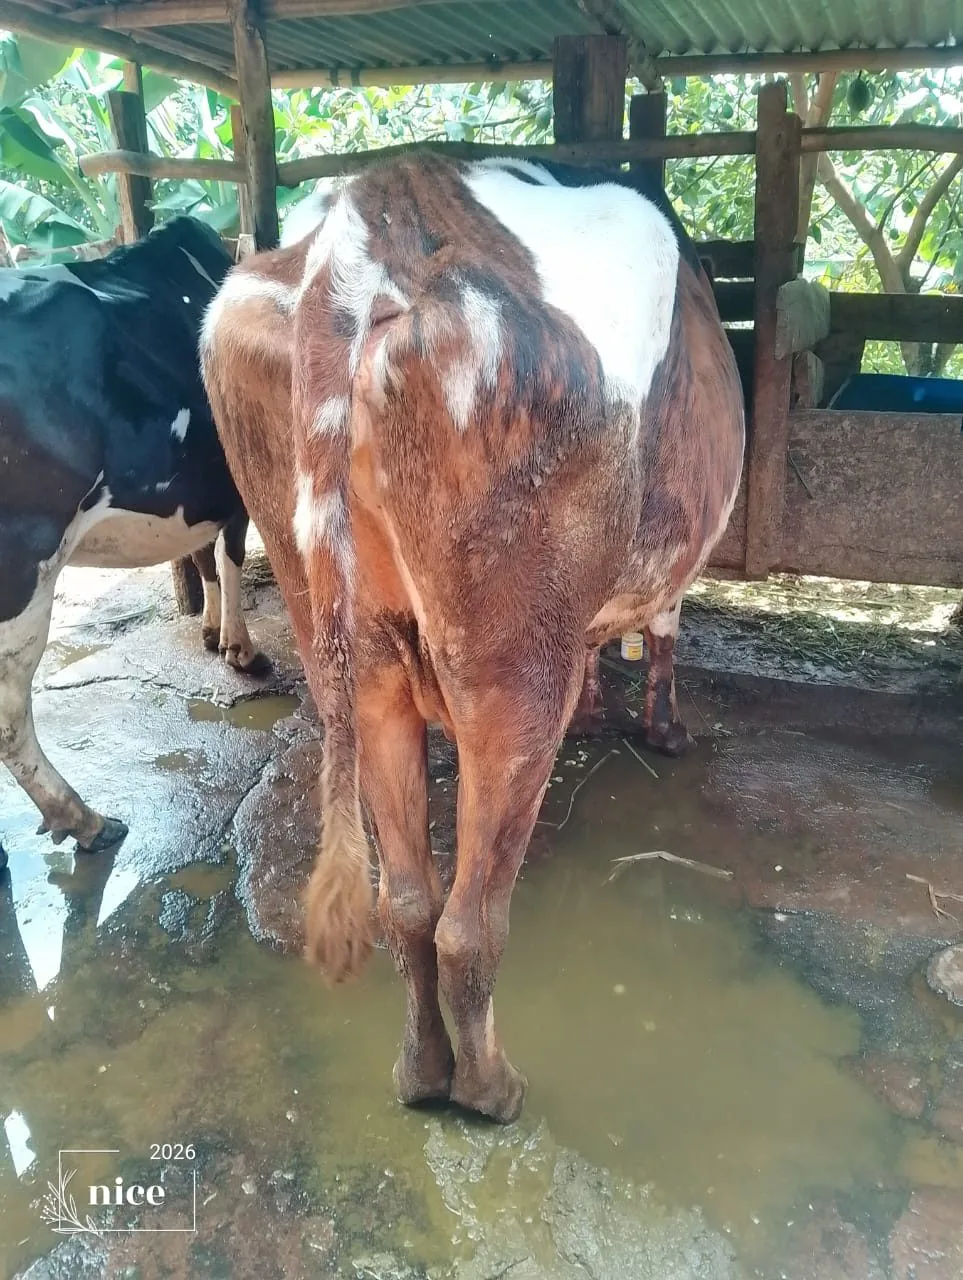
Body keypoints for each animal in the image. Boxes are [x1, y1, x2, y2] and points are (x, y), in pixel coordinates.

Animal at [0, 217, 267, 866]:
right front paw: (240, 648)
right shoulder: (234, 484)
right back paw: (85, 820)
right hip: (23, 565)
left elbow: (205, 556)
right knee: (9, 717)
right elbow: (229, 555)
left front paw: (211, 634)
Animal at [201, 152, 745, 1124]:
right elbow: (665, 628)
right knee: (469, 921)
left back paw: (420, 1073)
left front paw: (606, 711)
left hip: (349, 643)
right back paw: (490, 1089)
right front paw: (664, 730)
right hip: (510, 663)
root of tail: (369, 226)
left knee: (407, 903)